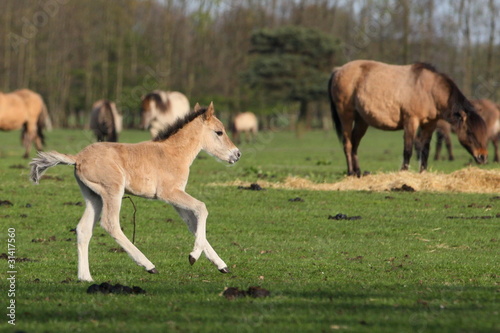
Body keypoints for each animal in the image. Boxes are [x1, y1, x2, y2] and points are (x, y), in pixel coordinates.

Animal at [29, 102, 240, 282]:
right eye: (219, 132)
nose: (237, 154)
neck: (174, 153)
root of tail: (78, 157)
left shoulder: (176, 198)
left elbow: (193, 224)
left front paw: (221, 265)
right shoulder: (169, 193)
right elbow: (202, 208)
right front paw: (193, 256)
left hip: (94, 197)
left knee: (83, 229)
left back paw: (85, 277)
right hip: (112, 190)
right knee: (110, 224)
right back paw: (148, 265)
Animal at [328, 59, 488, 176]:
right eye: (470, 132)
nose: (483, 157)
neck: (429, 91)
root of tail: (338, 70)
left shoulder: (430, 124)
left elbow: (425, 149)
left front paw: (423, 172)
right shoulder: (411, 121)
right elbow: (408, 149)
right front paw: (404, 173)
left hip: (362, 121)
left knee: (355, 144)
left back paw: (358, 172)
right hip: (346, 116)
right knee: (348, 144)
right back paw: (350, 172)